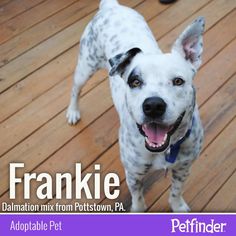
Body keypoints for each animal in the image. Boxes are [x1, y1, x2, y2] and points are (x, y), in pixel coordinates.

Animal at [66, 0, 205, 212]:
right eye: (135, 82)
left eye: (178, 81)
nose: (153, 105)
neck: (164, 149)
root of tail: (111, 6)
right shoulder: (133, 174)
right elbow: (138, 201)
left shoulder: (183, 168)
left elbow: (176, 191)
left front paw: (178, 206)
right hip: (85, 67)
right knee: (75, 89)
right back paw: (73, 112)